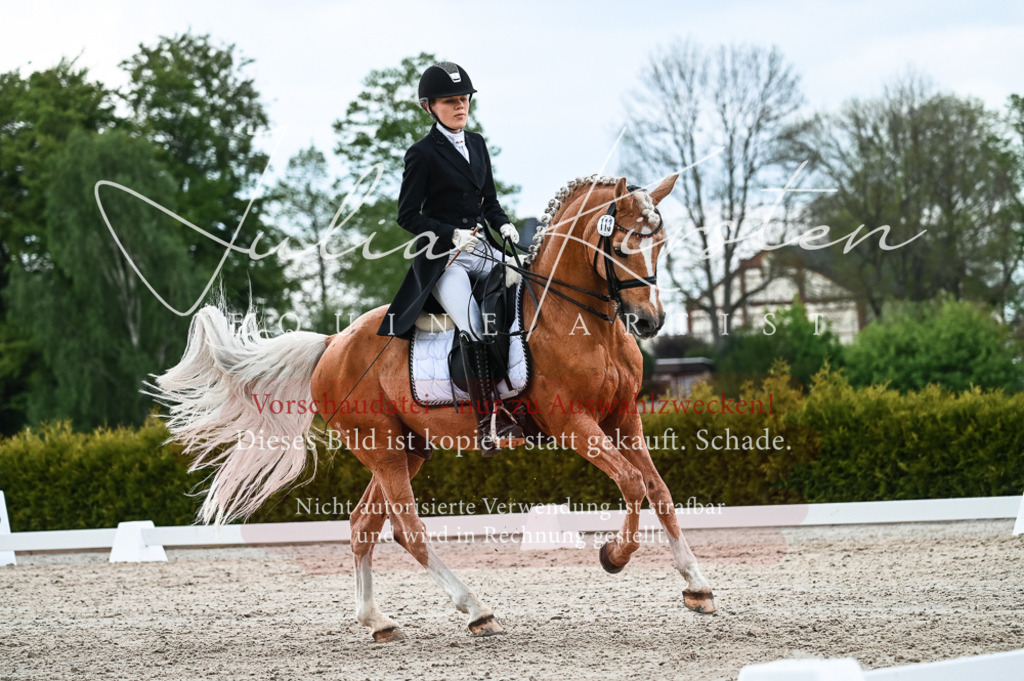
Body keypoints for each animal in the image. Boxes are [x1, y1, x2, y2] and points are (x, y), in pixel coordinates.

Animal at [151, 172, 716, 642]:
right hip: (380, 447)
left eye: (661, 244)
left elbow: (659, 491)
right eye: (619, 245)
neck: (581, 320)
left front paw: (697, 586)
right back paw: (476, 611)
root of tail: (333, 344)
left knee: (364, 525)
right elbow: (632, 483)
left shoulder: (624, 418)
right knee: (408, 530)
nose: (649, 321)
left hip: (408, 449)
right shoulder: (573, 423)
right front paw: (613, 557)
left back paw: (378, 622)